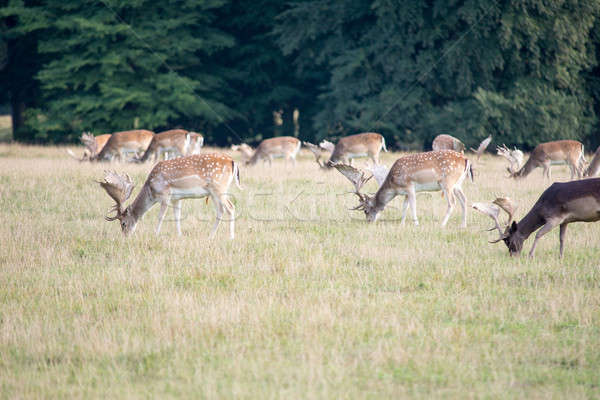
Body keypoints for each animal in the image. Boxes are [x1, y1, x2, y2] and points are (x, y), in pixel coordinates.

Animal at [97, 152, 240, 238]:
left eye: (123, 223)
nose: (125, 236)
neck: (152, 189)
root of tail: (232, 161)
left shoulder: (165, 194)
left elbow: (161, 216)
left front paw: (155, 234)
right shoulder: (176, 198)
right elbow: (177, 216)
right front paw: (180, 235)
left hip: (219, 188)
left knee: (231, 207)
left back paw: (231, 237)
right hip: (214, 192)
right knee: (221, 210)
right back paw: (211, 236)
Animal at [332, 150, 474, 227]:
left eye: (366, 210)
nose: (369, 221)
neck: (394, 185)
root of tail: (465, 159)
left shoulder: (409, 186)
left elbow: (412, 205)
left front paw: (416, 224)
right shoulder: (405, 192)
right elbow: (404, 206)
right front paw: (402, 224)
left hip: (447, 183)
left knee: (452, 202)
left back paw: (442, 225)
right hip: (457, 184)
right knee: (464, 200)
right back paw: (463, 225)